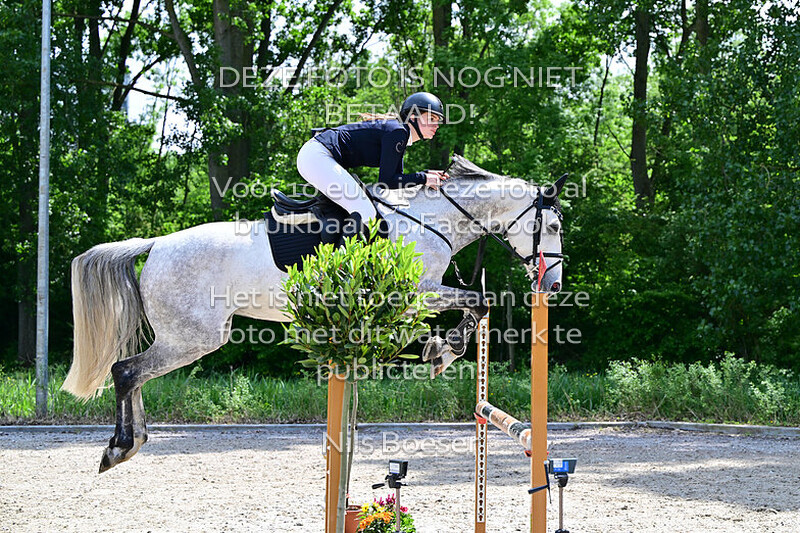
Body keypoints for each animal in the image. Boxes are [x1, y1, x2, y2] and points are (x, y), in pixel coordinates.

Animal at [62, 154, 566, 472]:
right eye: (554, 225)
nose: (553, 285)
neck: (430, 220)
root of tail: (157, 244)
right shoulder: (416, 293)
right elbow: (479, 301)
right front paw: (444, 351)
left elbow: (477, 303)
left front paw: (442, 348)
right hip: (193, 337)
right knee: (126, 371)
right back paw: (120, 448)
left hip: (189, 337)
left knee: (133, 374)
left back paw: (132, 444)